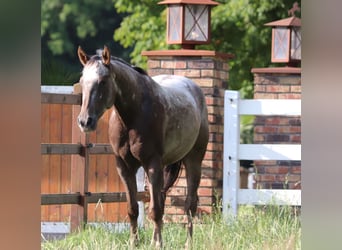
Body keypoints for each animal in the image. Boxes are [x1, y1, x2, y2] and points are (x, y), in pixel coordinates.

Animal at [77, 46, 210, 247]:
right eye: (82, 81)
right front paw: (135, 243)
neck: (134, 114)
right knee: (161, 198)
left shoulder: (152, 164)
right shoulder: (125, 167)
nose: (85, 121)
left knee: (190, 204)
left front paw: (159, 245)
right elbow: (133, 209)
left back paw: (188, 244)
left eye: (103, 81)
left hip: (193, 160)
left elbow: (155, 210)